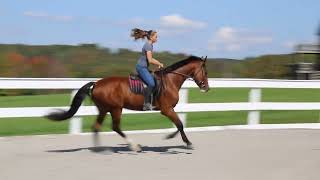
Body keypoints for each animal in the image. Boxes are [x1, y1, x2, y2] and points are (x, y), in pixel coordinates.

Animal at [45, 55, 210, 151]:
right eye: (205, 71)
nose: (206, 87)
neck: (170, 81)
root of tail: (96, 83)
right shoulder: (166, 109)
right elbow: (180, 124)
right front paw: (184, 142)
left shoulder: (168, 110)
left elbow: (179, 124)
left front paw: (173, 138)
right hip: (116, 108)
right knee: (115, 127)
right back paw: (134, 146)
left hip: (104, 109)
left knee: (96, 127)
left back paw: (99, 149)